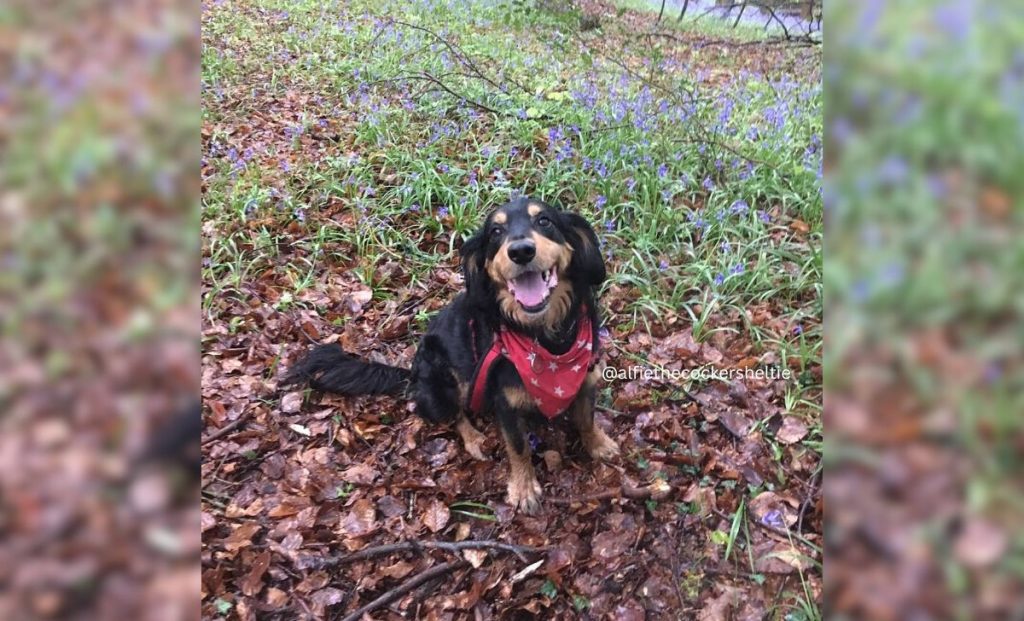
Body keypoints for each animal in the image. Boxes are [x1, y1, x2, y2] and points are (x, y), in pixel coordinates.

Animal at [280, 196, 618, 514]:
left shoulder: (586, 378)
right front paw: (523, 489)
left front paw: (599, 444)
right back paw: (475, 438)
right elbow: (519, 447)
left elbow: (586, 419)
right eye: (495, 232)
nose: (521, 251)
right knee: (453, 414)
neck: (545, 339)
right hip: (444, 377)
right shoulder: (506, 404)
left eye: (544, 220)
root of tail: (412, 376)